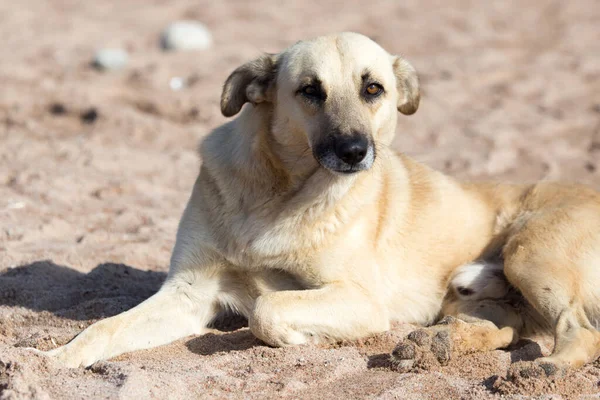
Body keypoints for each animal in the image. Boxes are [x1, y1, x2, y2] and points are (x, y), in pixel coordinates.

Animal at [39, 32, 596, 376]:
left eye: (373, 89)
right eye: (310, 90)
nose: (353, 152)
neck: (279, 195)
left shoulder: (360, 299)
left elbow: (266, 308)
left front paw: (297, 341)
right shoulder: (187, 293)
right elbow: (104, 328)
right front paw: (53, 361)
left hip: (530, 256)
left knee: (579, 332)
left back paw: (543, 369)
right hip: (482, 295)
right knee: (505, 326)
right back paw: (435, 346)